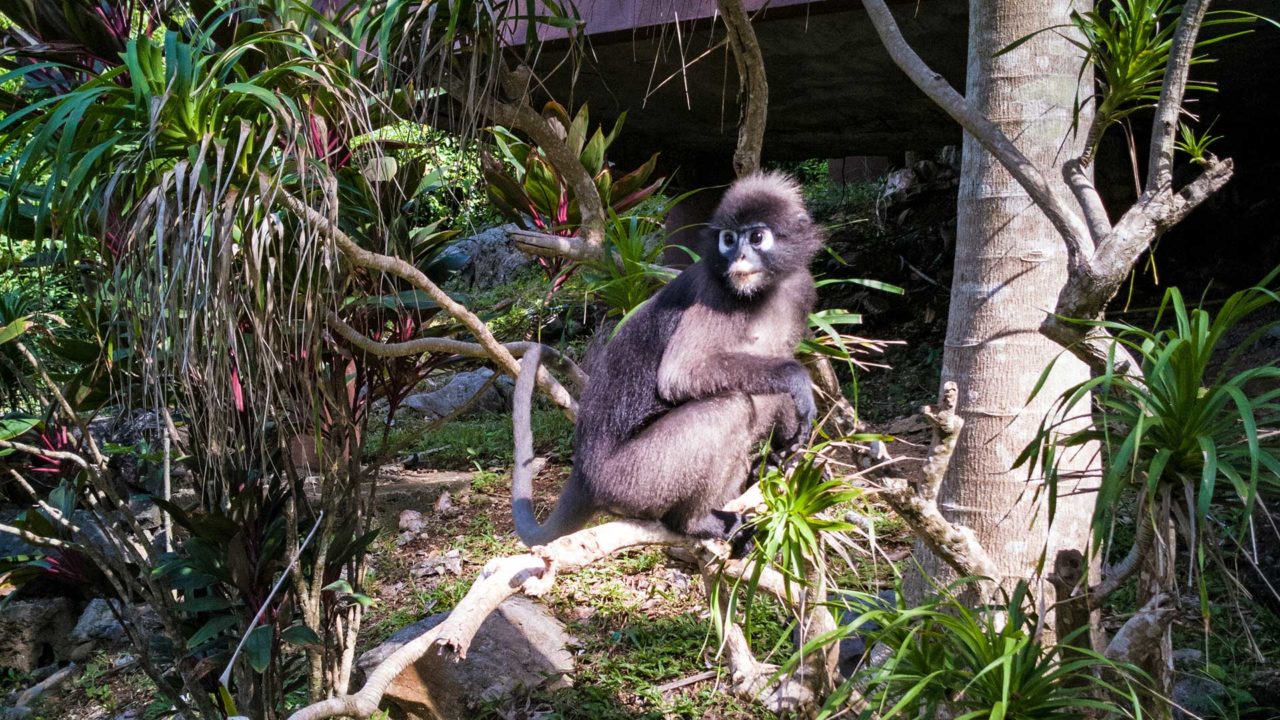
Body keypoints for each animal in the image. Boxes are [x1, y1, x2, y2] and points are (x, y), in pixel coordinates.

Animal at [509, 170, 819, 545]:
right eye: (729, 240)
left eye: (757, 237)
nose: (739, 257)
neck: (762, 295)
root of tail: (584, 473)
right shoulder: (714, 293)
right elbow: (680, 375)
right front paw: (797, 379)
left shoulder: (801, 288)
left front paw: (788, 447)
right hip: (635, 480)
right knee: (730, 406)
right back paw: (692, 522)